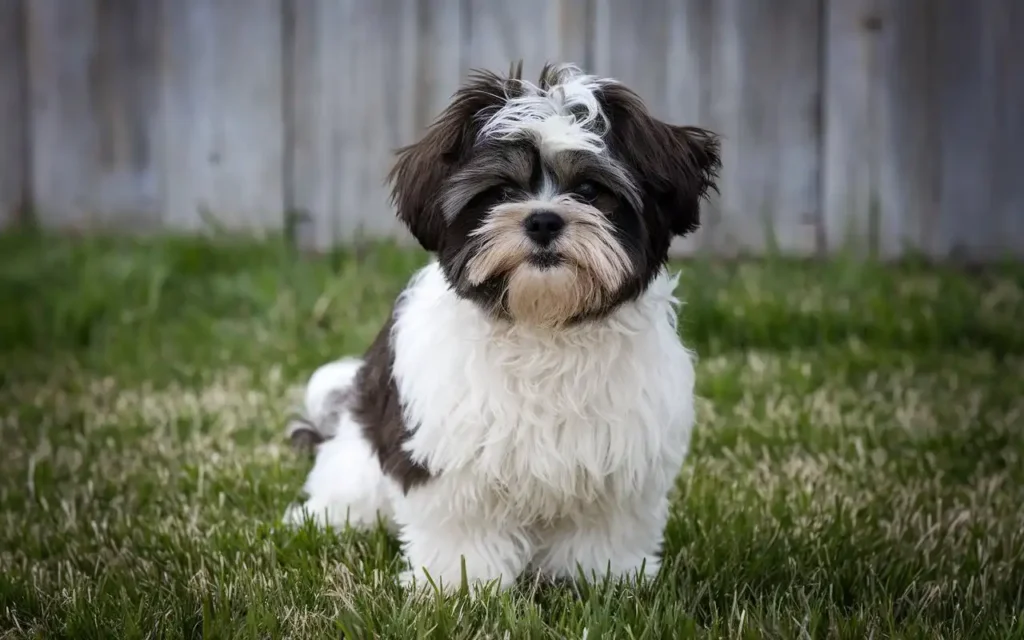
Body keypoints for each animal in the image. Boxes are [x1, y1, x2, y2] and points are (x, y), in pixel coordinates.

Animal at [284, 62, 724, 589]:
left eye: (590, 190)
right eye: (501, 192)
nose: (543, 221)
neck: (544, 325)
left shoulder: (621, 455)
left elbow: (604, 526)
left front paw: (603, 579)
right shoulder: (450, 455)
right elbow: (462, 525)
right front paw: (457, 586)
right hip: (360, 466)